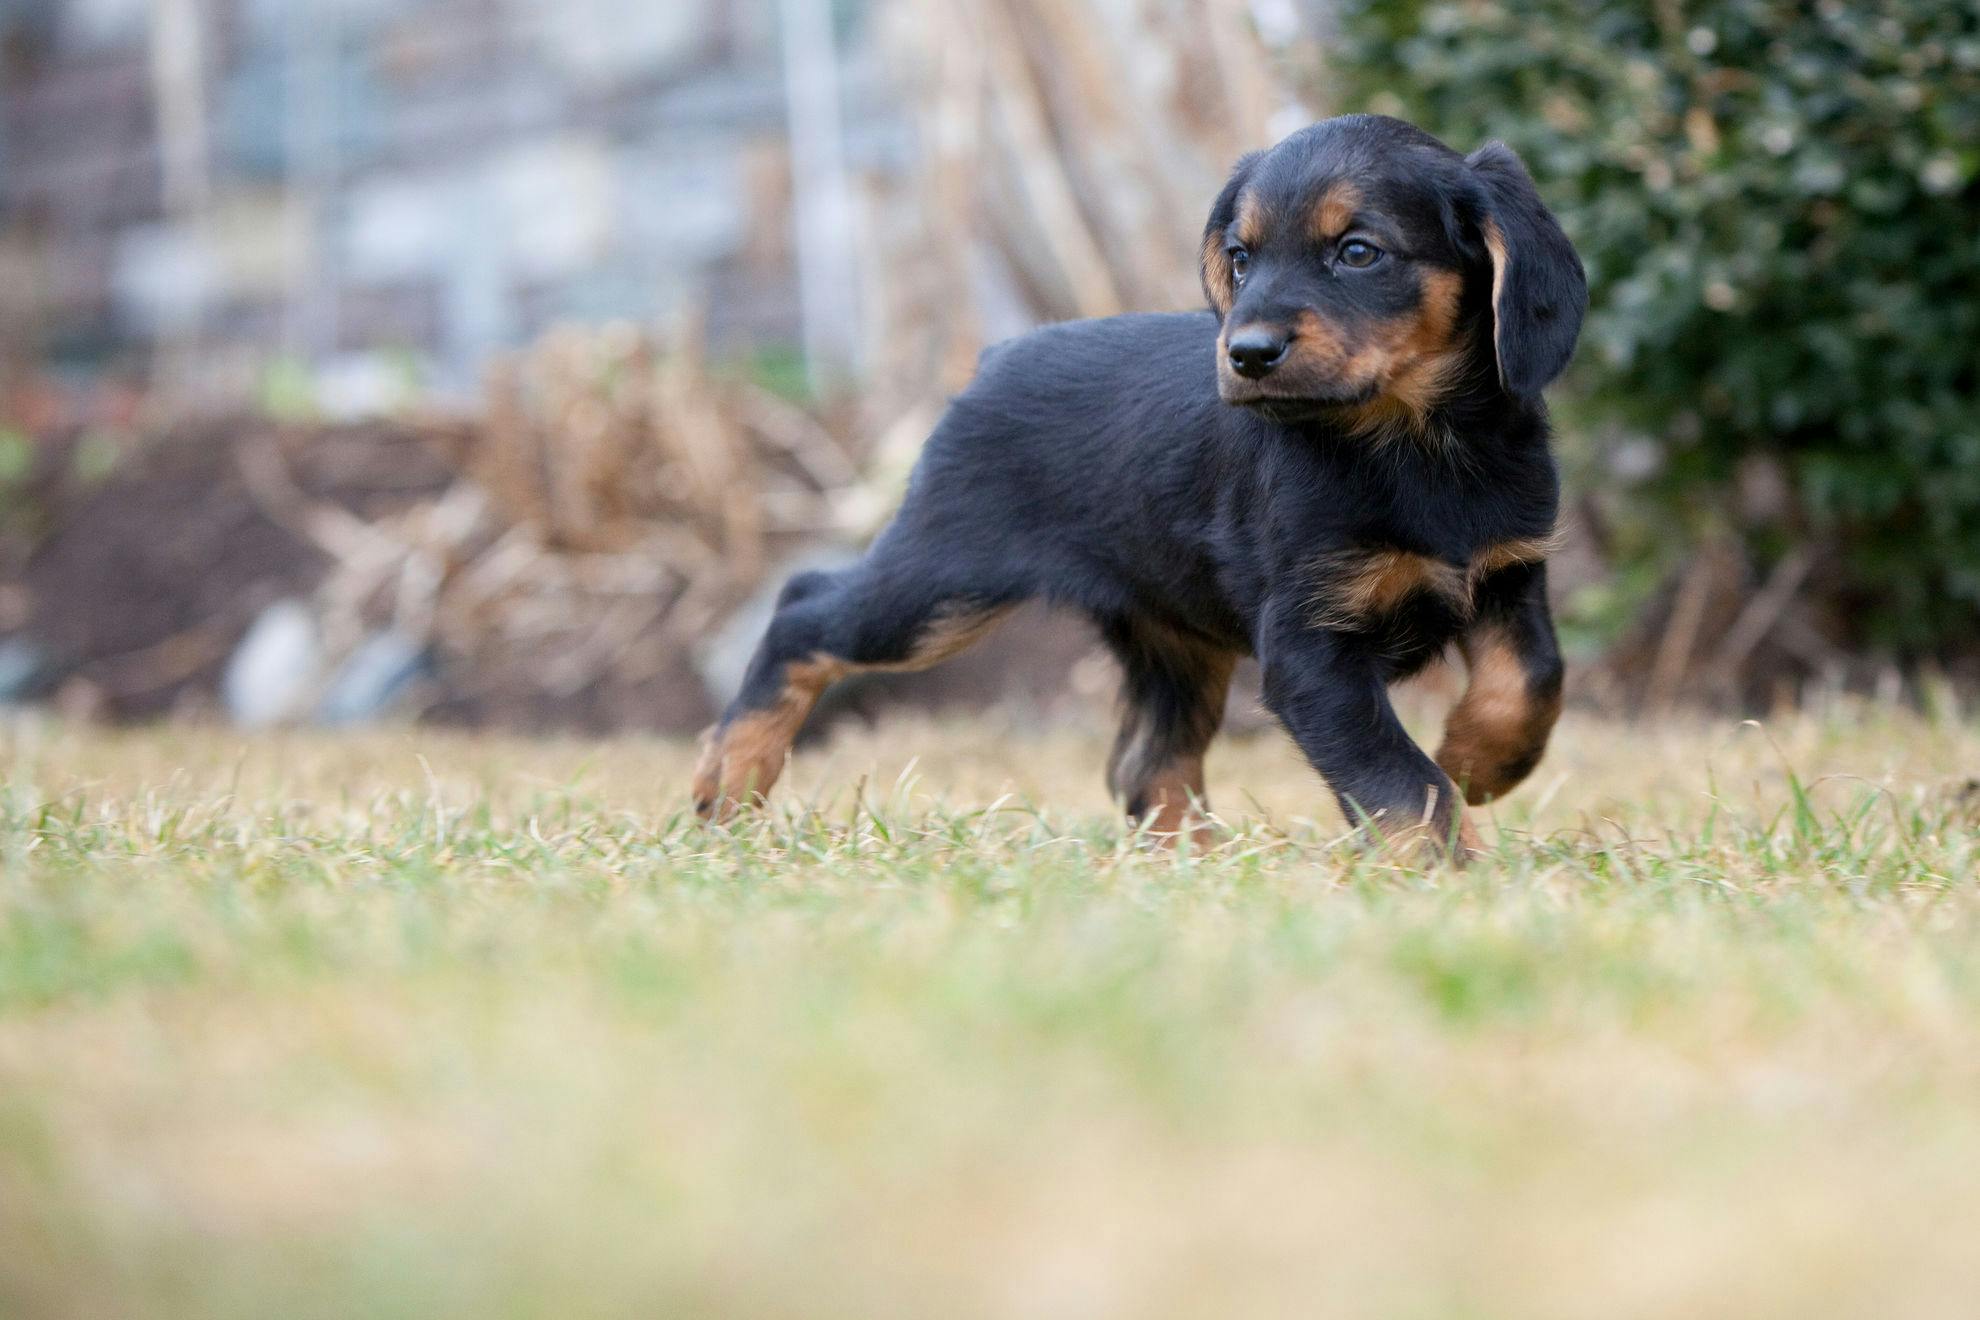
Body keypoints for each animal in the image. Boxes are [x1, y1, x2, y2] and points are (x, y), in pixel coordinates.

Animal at [689, 110, 1584, 858]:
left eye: (1359, 252)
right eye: (1240, 258)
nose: (1246, 354)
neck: (1415, 442)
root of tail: (992, 360)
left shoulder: (1507, 575)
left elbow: (1532, 679)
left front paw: (1480, 760)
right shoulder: (1309, 651)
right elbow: (1399, 779)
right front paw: (1453, 869)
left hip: (1172, 636)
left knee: (1147, 763)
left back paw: (1203, 867)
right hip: (940, 584)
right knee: (803, 612)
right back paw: (727, 785)